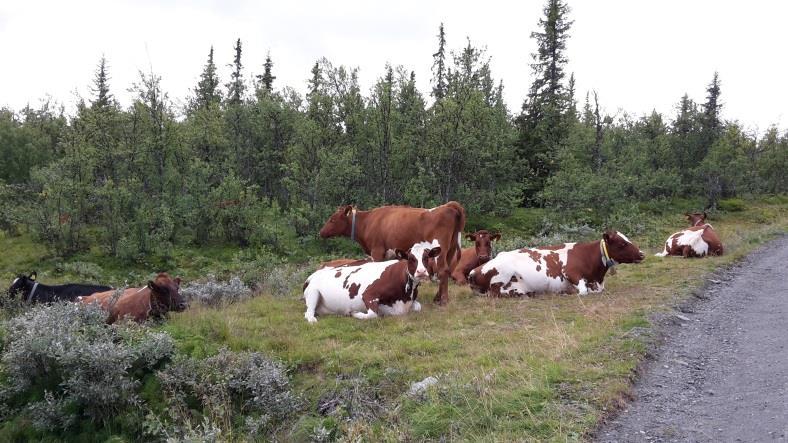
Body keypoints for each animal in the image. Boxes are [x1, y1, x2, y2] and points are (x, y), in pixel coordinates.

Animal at [302, 241, 440, 324]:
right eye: (411, 258)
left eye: (426, 257)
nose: (421, 272)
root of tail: (316, 272)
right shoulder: (368, 294)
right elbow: (373, 314)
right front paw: (355, 313)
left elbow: (418, 307)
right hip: (313, 293)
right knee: (308, 313)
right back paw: (313, 319)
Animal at [318, 201, 464, 306]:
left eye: (332, 219)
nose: (321, 232)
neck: (367, 222)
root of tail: (448, 206)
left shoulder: (377, 251)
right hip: (450, 250)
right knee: (447, 270)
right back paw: (437, 298)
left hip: (439, 249)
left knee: (443, 271)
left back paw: (443, 300)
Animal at [468, 232, 648, 298]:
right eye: (622, 244)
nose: (642, 254)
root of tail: (473, 272)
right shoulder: (571, 273)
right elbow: (584, 291)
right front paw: (570, 291)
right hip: (503, 273)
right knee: (495, 293)